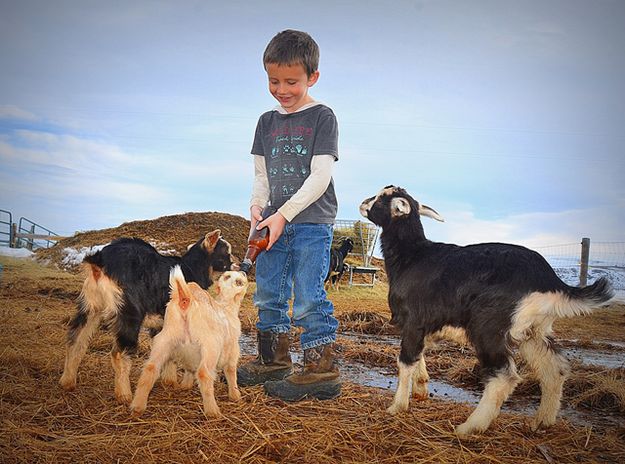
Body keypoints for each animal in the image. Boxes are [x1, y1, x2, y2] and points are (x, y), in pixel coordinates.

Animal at [59, 230, 235, 404]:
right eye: (226, 252)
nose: (238, 266)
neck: (193, 268)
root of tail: (100, 261)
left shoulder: (161, 323)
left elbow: (166, 351)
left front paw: (168, 380)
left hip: (89, 306)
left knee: (76, 340)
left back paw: (67, 381)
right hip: (129, 313)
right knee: (119, 353)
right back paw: (124, 395)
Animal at [358, 185, 612, 436]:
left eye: (381, 198)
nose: (362, 204)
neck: (412, 256)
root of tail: (548, 279)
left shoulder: (414, 321)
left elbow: (406, 360)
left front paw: (397, 406)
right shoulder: (425, 326)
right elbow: (418, 354)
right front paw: (420, 389)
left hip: (488, 328)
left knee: (504, 376)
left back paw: (470, 426)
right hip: (533, 331)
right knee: (555, 369)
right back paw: (542, 422)